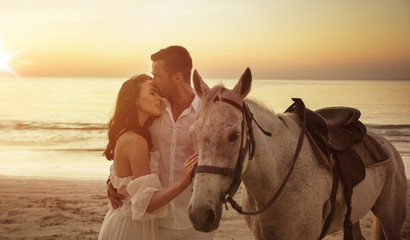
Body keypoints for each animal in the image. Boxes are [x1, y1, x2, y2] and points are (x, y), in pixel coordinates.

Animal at [187, 68, 406, 240]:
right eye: (193, 134)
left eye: (234, 136)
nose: (200, 214)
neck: (274, 181)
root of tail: (388, 146)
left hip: (390, 220)